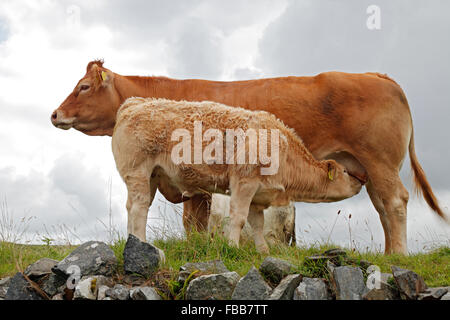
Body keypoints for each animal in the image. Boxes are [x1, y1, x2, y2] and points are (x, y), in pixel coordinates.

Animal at [52, 60, 446, 255]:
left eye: (83, 87)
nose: (55, 114)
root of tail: (379, 76)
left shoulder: (200, 187)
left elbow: (197, 223)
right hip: (371, 167)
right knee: (383, 206)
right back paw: (388, 253)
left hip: (380, 163)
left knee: (394, 203)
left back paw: (398, 255)